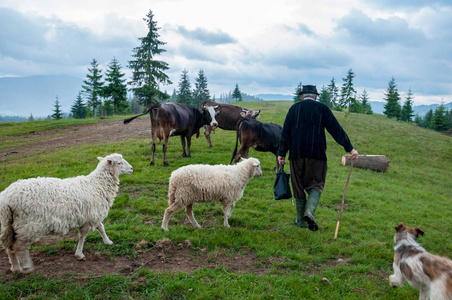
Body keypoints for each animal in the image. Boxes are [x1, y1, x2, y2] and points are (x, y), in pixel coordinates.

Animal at [0, 154, 133, 274]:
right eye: (119, 163)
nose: (132, 168)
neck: (97, 184)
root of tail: (6, 198)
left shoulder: (93, 216)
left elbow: (101, 227)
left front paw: (108, 241)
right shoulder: (89, 219)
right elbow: (82, 237)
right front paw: (79, 254)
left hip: (9, 224)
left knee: (9, 247)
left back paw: (16, 268)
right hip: (28, 225)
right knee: (19, 246)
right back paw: (27, 267)